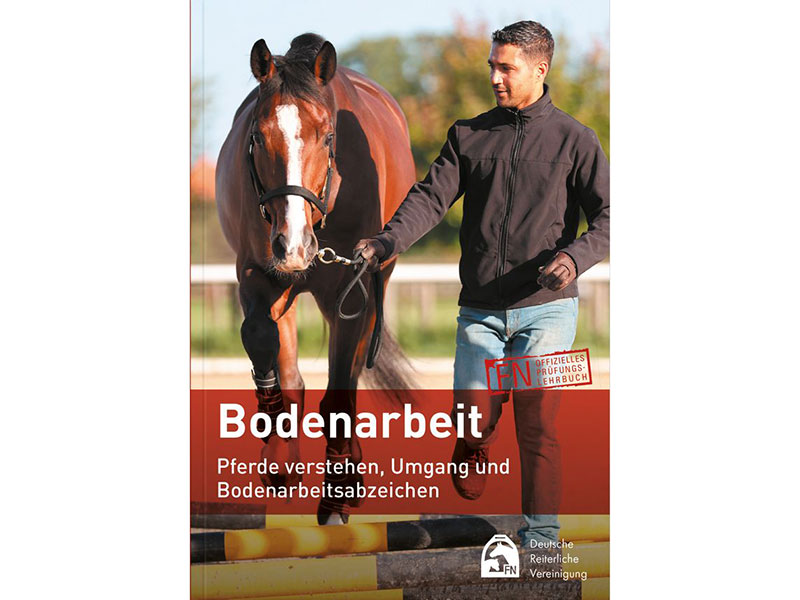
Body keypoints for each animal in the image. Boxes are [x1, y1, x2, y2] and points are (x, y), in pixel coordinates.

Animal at [215, 33, 416, 524]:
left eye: (327, 137)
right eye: (257, 136)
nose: (294, 245)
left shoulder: (351, 292)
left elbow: (340, 390)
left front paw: (338, 492)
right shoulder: (257, 274)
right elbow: (262, 342)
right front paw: (276, 457)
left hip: (370, 287)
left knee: (353, 371)